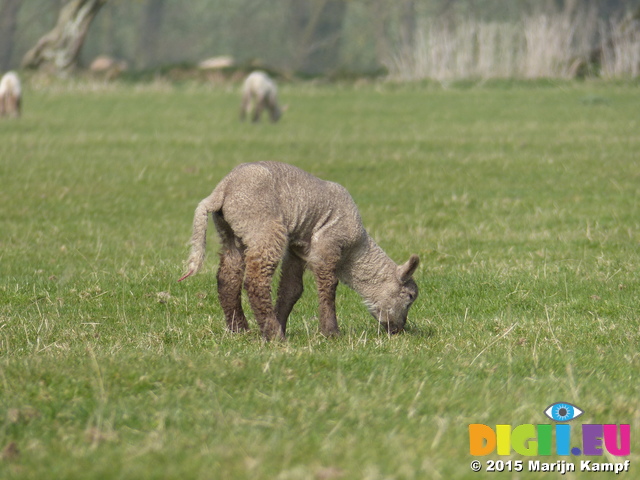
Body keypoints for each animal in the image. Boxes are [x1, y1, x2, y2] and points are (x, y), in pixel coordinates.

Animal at [180, 162, 420, 342]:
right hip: (263, 226)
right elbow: (329, 286)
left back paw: (240, 329)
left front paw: (282, 321)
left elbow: (292, 289)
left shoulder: (297, 249)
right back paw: (274, 335)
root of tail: (222, 190)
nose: (399, 329)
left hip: (231, 233)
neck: (354, 254)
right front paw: (331, 332)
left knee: (227, 278)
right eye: (409, 296)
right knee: (256, 281)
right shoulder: (328, 244)